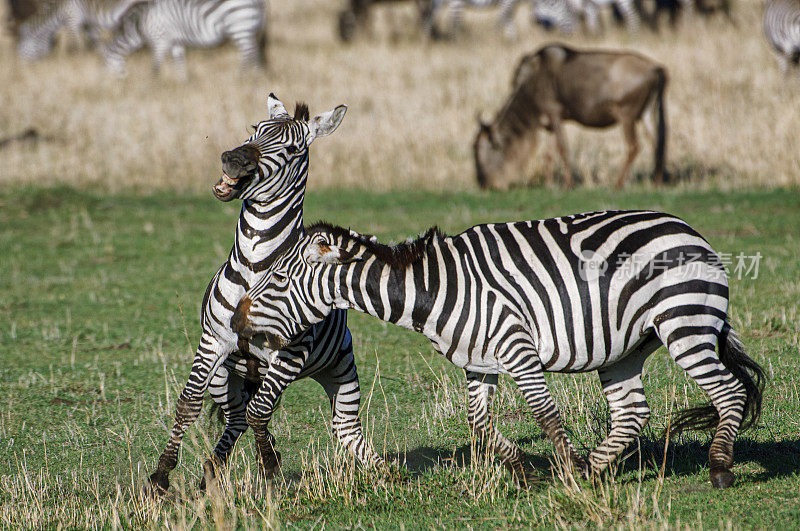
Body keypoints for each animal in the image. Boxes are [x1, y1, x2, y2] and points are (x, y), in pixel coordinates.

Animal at [16, 0, 148, 59]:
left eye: (21, 50)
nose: (21, 68)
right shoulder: (89, 24)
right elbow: (97, 44)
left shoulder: (73, 20)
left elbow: (75, 46)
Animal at [101, 0, 266, 78]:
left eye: (108, 69)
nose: (117, 90)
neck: (139, 25)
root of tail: (258, 2)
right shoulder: (175, 41)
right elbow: (179, 63)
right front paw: (182, 83)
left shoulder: (160, 40)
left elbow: (155, 66)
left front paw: (153, 87)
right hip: (249, 28)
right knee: (255, 52)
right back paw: (256, 76)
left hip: (239, 26)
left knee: (248, 53)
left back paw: (241, 77)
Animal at [148, 93, 384, 496]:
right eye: (255, 130)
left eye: (291, 149)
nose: (232, 158)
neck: (255, 266)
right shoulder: (212, 341)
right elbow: (188, 403)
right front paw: (161, 475)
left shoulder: (289, 354)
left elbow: (261, 412)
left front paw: (271, 472)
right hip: (226, 378)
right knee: (237, 418)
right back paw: (213, 471)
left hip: (340, 370)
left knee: (341, 427)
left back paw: (382, 472)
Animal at [234, 212, 764, 490]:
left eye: (276, 279)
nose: (237, 321)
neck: (436, 287)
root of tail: (689, 229)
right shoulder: (479, 361)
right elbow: (480, 425)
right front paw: (525, 470)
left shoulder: (516, 345)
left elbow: (545, 413)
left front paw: (564, 470)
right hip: (626, 349)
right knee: (633, 412)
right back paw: (596, 470)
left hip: (685, 323)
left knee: (730, 393)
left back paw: (719, 469)